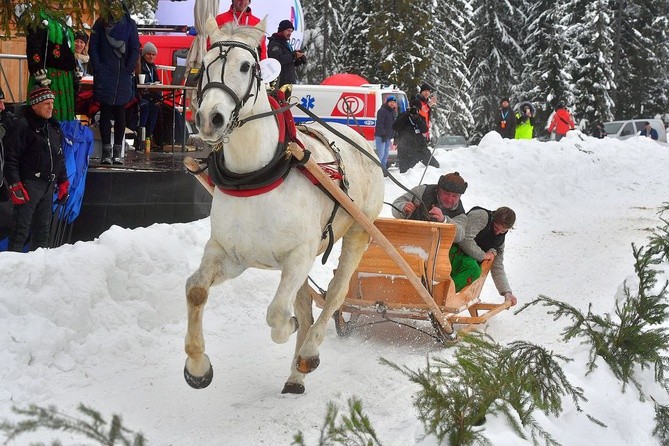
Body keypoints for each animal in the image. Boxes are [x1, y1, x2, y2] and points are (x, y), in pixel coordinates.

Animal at [184, 18, 380, 394]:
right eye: (206, 64)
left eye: (246, 66)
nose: (210, 118)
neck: (254, 176)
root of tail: (361, 140)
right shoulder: (229, 254)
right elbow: (196, 290)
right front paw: (198, 366)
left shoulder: (299, 255)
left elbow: (277, 313)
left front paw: (289, 331)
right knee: (305, 304)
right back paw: (295, 376)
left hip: (359, 232)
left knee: (335, 295)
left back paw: (307, 354)